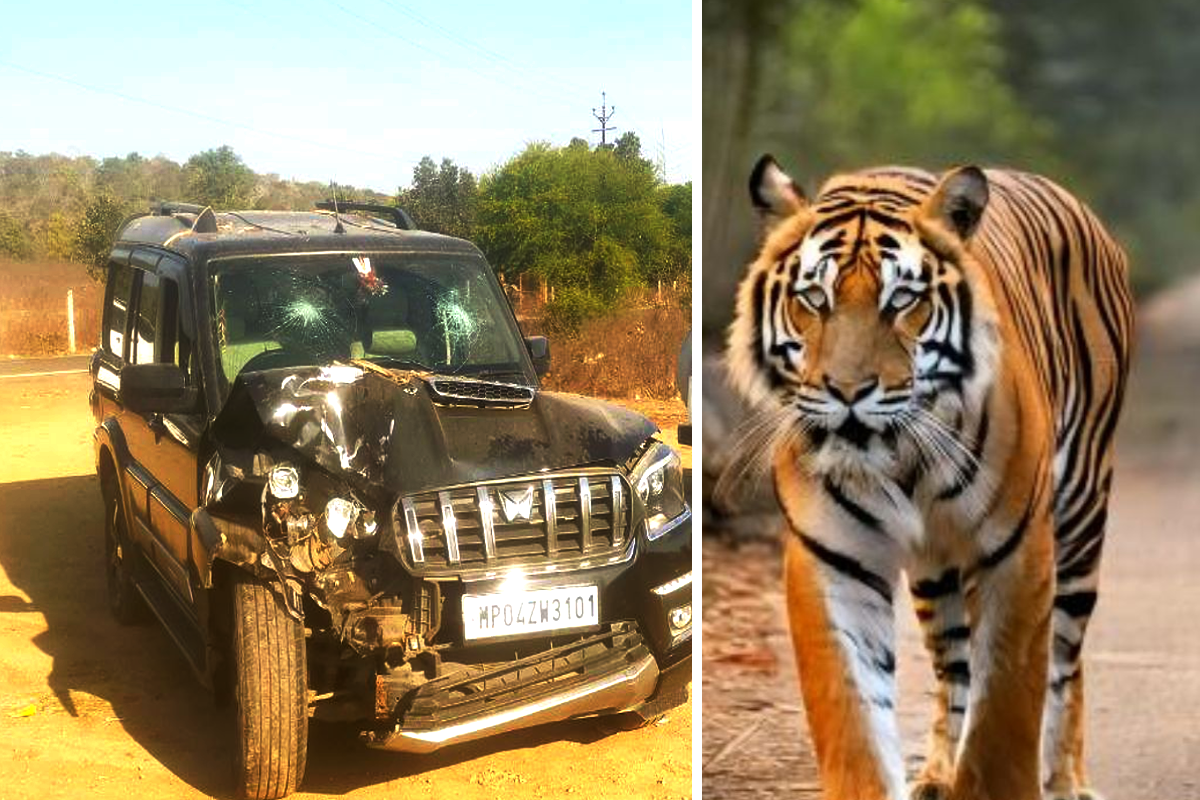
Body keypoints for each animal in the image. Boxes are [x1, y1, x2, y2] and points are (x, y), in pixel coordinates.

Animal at [722, 155, 1133, 800]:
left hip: (1082, 514)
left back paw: (1066, 779)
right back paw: (939, 773)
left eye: (901, 300)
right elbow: (854, 721)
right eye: (813, 297)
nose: (847, 391)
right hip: (935, 573)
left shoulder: (1016, 554)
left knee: (1068, 660)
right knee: (952, 668)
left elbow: (1005, 716)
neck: (901, 460)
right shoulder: (832, 559)